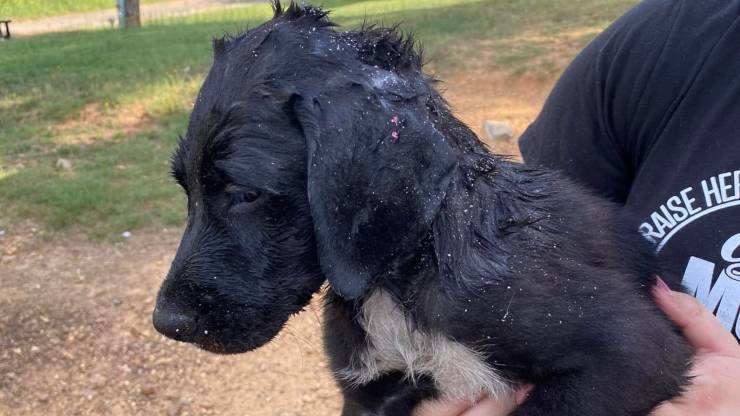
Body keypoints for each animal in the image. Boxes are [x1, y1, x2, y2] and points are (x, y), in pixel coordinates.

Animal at [152, 2, 692, 415]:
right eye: (185, 188)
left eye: (245, 193)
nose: (166, 324)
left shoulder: (635, 351)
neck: (403, 277)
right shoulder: (368, 392)